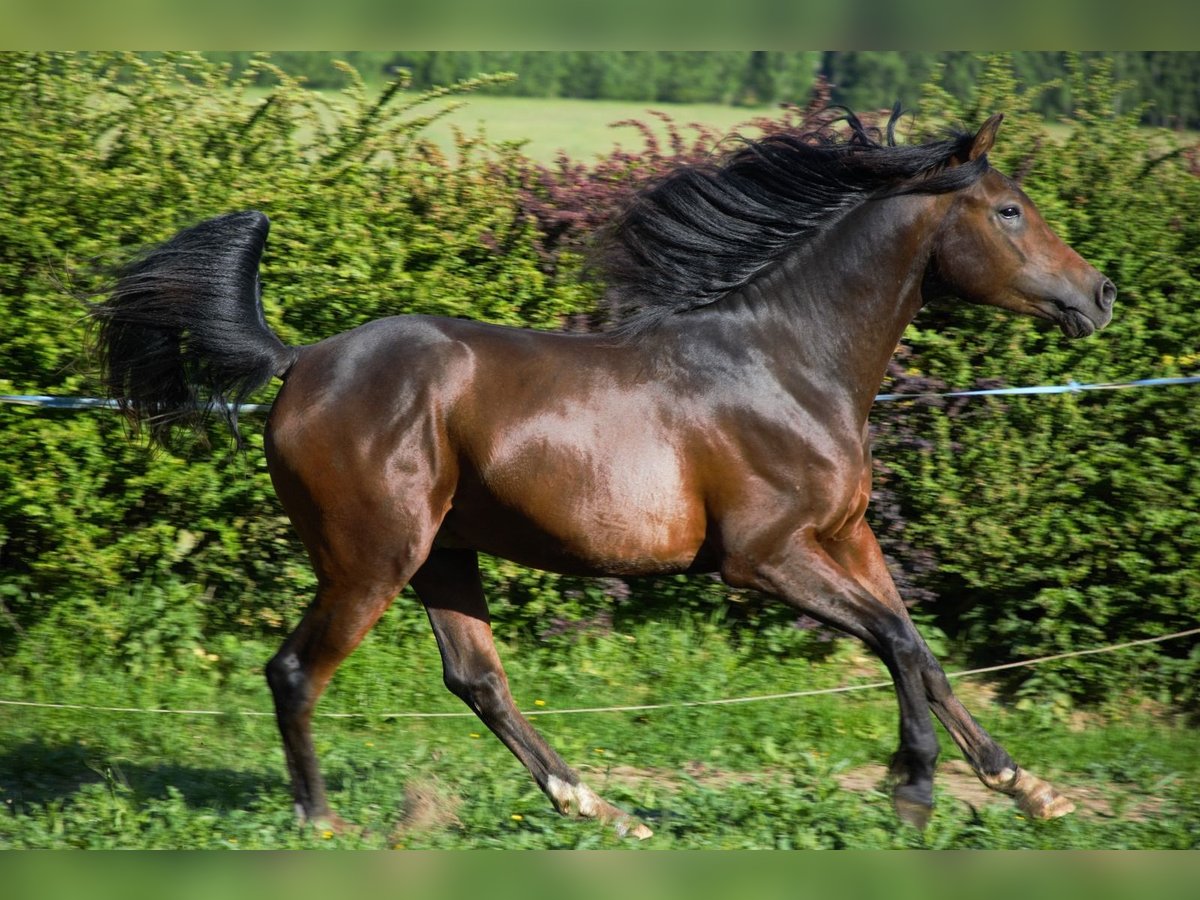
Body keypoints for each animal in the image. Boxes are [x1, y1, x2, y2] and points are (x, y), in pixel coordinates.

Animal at [91, 111, 1113, 840]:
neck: (789, 363)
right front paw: (912, 790)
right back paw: (322, 822)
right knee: (297, 671)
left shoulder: (845, 536)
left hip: (442, 555)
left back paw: (603, 810)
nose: (1100, 294)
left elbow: (921, 651)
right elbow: (898, 645)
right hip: (370, 559)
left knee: (477, 679)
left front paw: (1030, 790)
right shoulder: (763, 557)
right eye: (1010, 209)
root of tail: (300, 363)